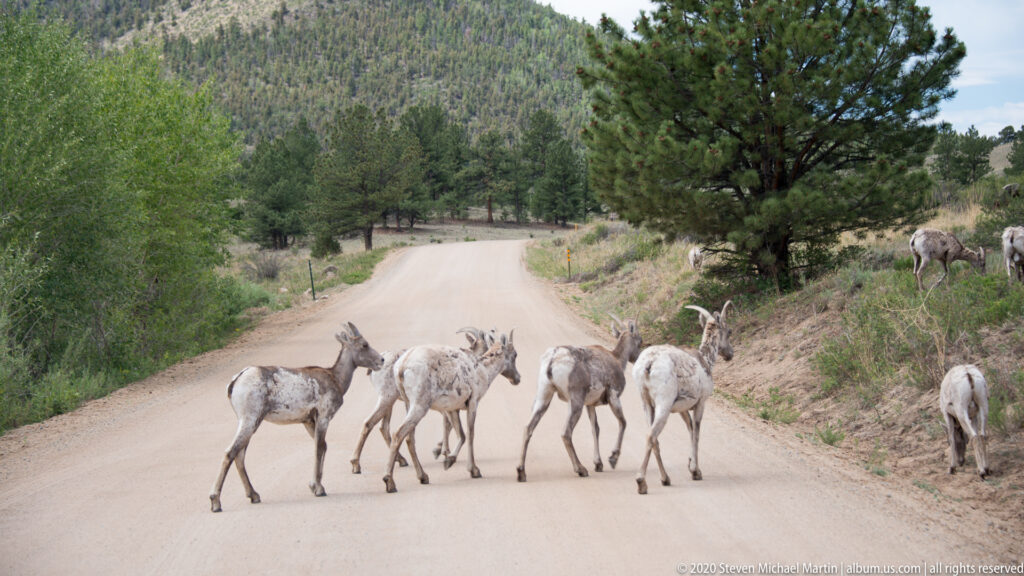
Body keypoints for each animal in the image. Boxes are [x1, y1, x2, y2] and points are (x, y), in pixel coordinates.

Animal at [209, 322, 383, 513]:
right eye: (364, 345)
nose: (381, 360)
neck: (336, 378)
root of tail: (235, 382)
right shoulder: (323, 416)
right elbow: (319, 448)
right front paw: (319, 489)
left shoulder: (307, 421)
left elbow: (322, 447)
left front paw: (314, 486)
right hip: (250, 420)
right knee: (230, 453)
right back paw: (216, 502)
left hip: (248, 422)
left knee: (239, 455)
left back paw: (254, 495)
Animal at [348, 327, 493, 475]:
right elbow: (455, 428)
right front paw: (446, 454)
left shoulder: (449, 408)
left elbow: (450, 426)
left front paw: (443, 452)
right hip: (391, 399)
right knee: (371, 424)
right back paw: (357, 465)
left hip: (392, 402)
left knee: (385, 428)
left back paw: (401, 461)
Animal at [382, 331, 520, 492]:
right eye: (515, 354)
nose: (517, 379)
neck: (483, 370)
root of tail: (402, 366)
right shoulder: (473, 403)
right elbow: (470, 434)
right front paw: (474, 470)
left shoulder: (452, 409)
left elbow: (461, 435)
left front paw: (448, 461)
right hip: (419, 406)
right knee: (398, 435)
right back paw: (390, 482)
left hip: (408, 405)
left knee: (409, 438)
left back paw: (423, 477)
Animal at [515, 315, 642, 482]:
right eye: (640, 340)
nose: (638, 358)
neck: (617, 359)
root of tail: (553, 358)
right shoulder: (613, 397)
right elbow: (623, 422)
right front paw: (612, 459)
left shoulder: (590, 405)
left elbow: (596, 429)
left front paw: (598, 464)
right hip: (575, 402)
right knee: (566, 433)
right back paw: (581, 469)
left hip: (544, 396)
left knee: (528, 428)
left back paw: (521, 472)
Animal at [632, 301, 733, 494]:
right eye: (730, 331)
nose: (730, 354)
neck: (706, 361)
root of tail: (649, 364)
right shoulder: (701, 403)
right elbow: (697, 433)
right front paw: (695, 472)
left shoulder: (682, 409)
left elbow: (690, 429)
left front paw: (690, 465)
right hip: (663, 403)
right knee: (651, 435)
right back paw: (642, 482)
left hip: (645, 402)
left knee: (654, 438)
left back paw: (665, 478)